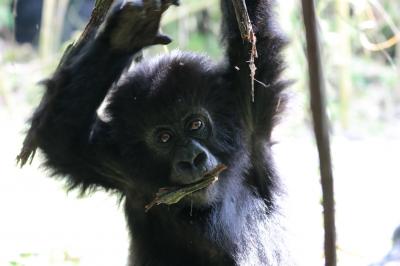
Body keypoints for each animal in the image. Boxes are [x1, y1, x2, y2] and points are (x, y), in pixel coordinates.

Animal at [21, 0, 290, 266]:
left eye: (196, 125)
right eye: (164, 138)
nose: (192, 159)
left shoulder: (247, 112)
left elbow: (252, 41)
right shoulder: (122, 165)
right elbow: (62, 137)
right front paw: (124, 35)